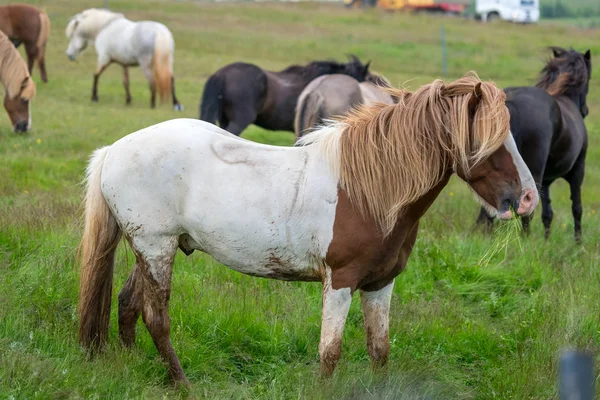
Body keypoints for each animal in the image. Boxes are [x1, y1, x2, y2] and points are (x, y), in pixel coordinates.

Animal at [76, 74, 540, 384]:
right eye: (488, 140)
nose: (528, 199)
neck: (368, 190)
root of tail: (114, 150)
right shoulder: (340, 281)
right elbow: (329, 354)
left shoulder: (380, 284)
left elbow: (379, 350)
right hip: (156, 248)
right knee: (156, 317)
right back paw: (182, 384)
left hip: (153, 248)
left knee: (128, 304)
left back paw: (134, 367)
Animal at [478, 47, 592, 241]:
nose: (585, 110)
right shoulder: (577, 172)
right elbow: (577, 208)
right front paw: (578, 242)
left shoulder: (546, 181)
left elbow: (547, 213)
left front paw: (546, 241)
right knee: (526, 210)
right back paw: (525, 239)